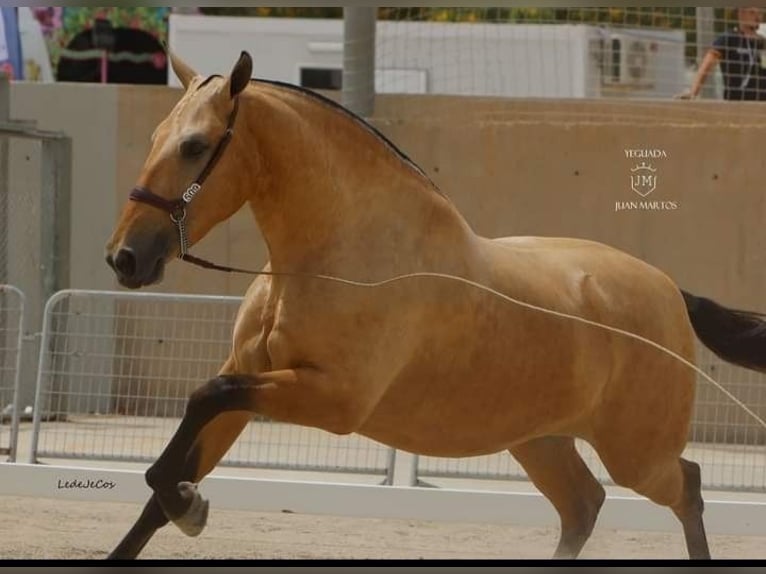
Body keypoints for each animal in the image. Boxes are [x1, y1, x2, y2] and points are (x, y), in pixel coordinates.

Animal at [105, 51, 766, 560]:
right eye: (156, 139)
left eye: (195, 146)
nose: (125, 258)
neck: (336, 254)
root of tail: (668, 289)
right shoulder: (250, 376)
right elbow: (167, 474)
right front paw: (184, 500)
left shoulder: (330, 399)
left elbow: (200, 405)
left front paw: (190, 505)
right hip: (539, 439)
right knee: (585, 504)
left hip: (637, 455)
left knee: (687, 487)